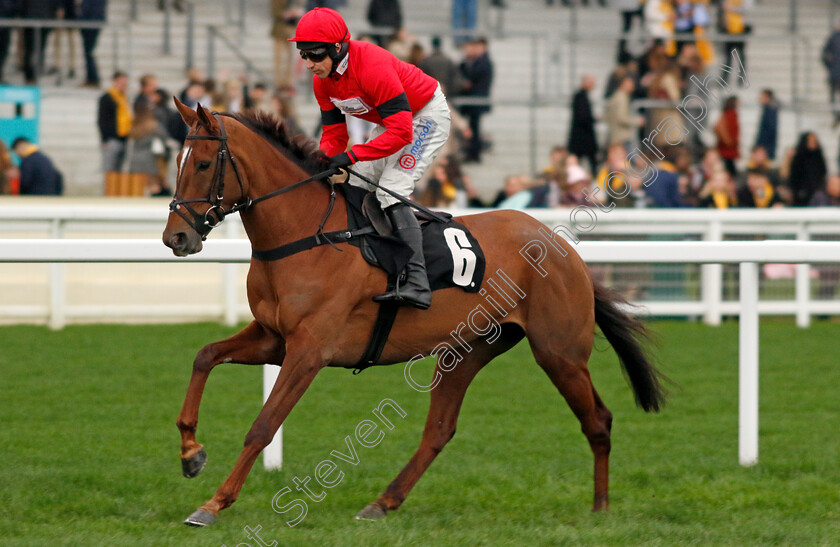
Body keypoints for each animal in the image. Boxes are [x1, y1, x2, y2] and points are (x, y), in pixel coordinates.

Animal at [162, 100, 664, 528]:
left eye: (202, 164)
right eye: (177, 163)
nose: (176, 238)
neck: (307, 233)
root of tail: (563, 247)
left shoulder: (309, 350)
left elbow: (263, 426)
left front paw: (213, 504)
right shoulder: (274, 337)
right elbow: (205, 356)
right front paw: (190, 453)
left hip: (559, 353)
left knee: (598, 420)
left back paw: (601, 508)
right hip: (466, 351)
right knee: (439, 430)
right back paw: (383, 502)